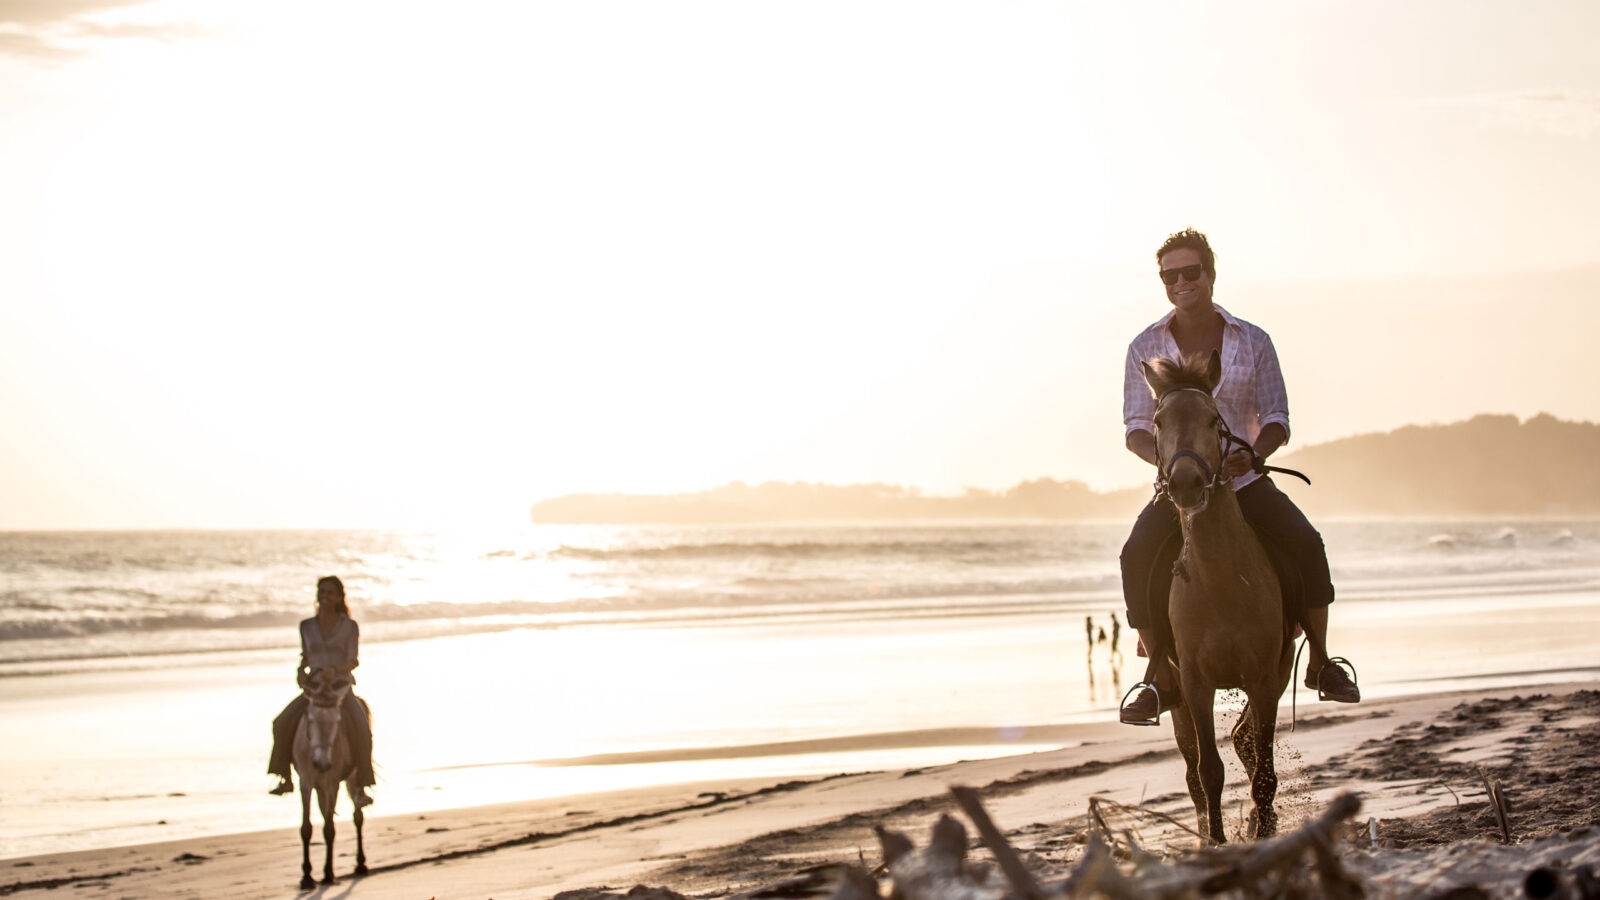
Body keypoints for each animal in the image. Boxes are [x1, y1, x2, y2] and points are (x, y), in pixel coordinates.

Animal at [291, 669, 368, 888]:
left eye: (337, 721)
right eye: (310, 719)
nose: (323, 763)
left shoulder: (332, 784)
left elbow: (329, 828)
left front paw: (328, 873)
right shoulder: (306, 783)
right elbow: (306, 827)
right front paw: (307, 876)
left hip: (353, 779)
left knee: (357, 816)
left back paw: (360, 864)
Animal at [1141, 350, 1294, 844]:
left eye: (1213, 420)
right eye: (1158, 421)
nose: (1186, 483)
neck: (1222, 581)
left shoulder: (1264, 677)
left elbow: (1263, 768)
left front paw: (1262, 833)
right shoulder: (1194, 682)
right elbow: (1209, 771)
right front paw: (1218, 842)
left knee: (1247, 741)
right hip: (1173, 694)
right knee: (1192, 767)